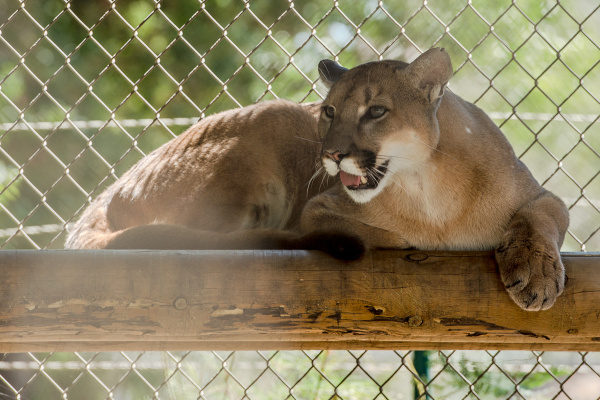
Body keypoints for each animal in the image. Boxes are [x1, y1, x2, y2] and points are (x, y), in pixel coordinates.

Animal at [65, 47, 568, 310]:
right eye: (328, 111)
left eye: (376, 111)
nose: (331, 154)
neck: (429, 185)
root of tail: (102, 198)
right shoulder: (319, 208)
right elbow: (379, 233)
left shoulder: (540, 194)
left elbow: (542, 216)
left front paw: (536, 272)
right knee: (210, 242)